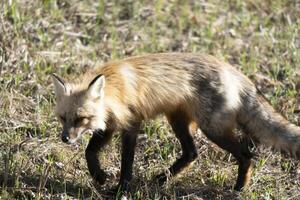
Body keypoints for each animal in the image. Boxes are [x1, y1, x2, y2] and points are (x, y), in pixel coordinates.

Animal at [51, 52, 300, 192]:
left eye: (81, 119)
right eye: (63, 118)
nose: (65, 139)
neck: (115, 88)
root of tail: (236, 73)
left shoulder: (131, 122)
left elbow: (127, 161)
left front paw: (122, 188)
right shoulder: (110, 124)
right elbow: (90, 152)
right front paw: (99, 176)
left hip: (213, 130)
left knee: (247, 154)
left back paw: (239, 188)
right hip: (178, 122)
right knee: (191, 153)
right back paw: (162, 179)